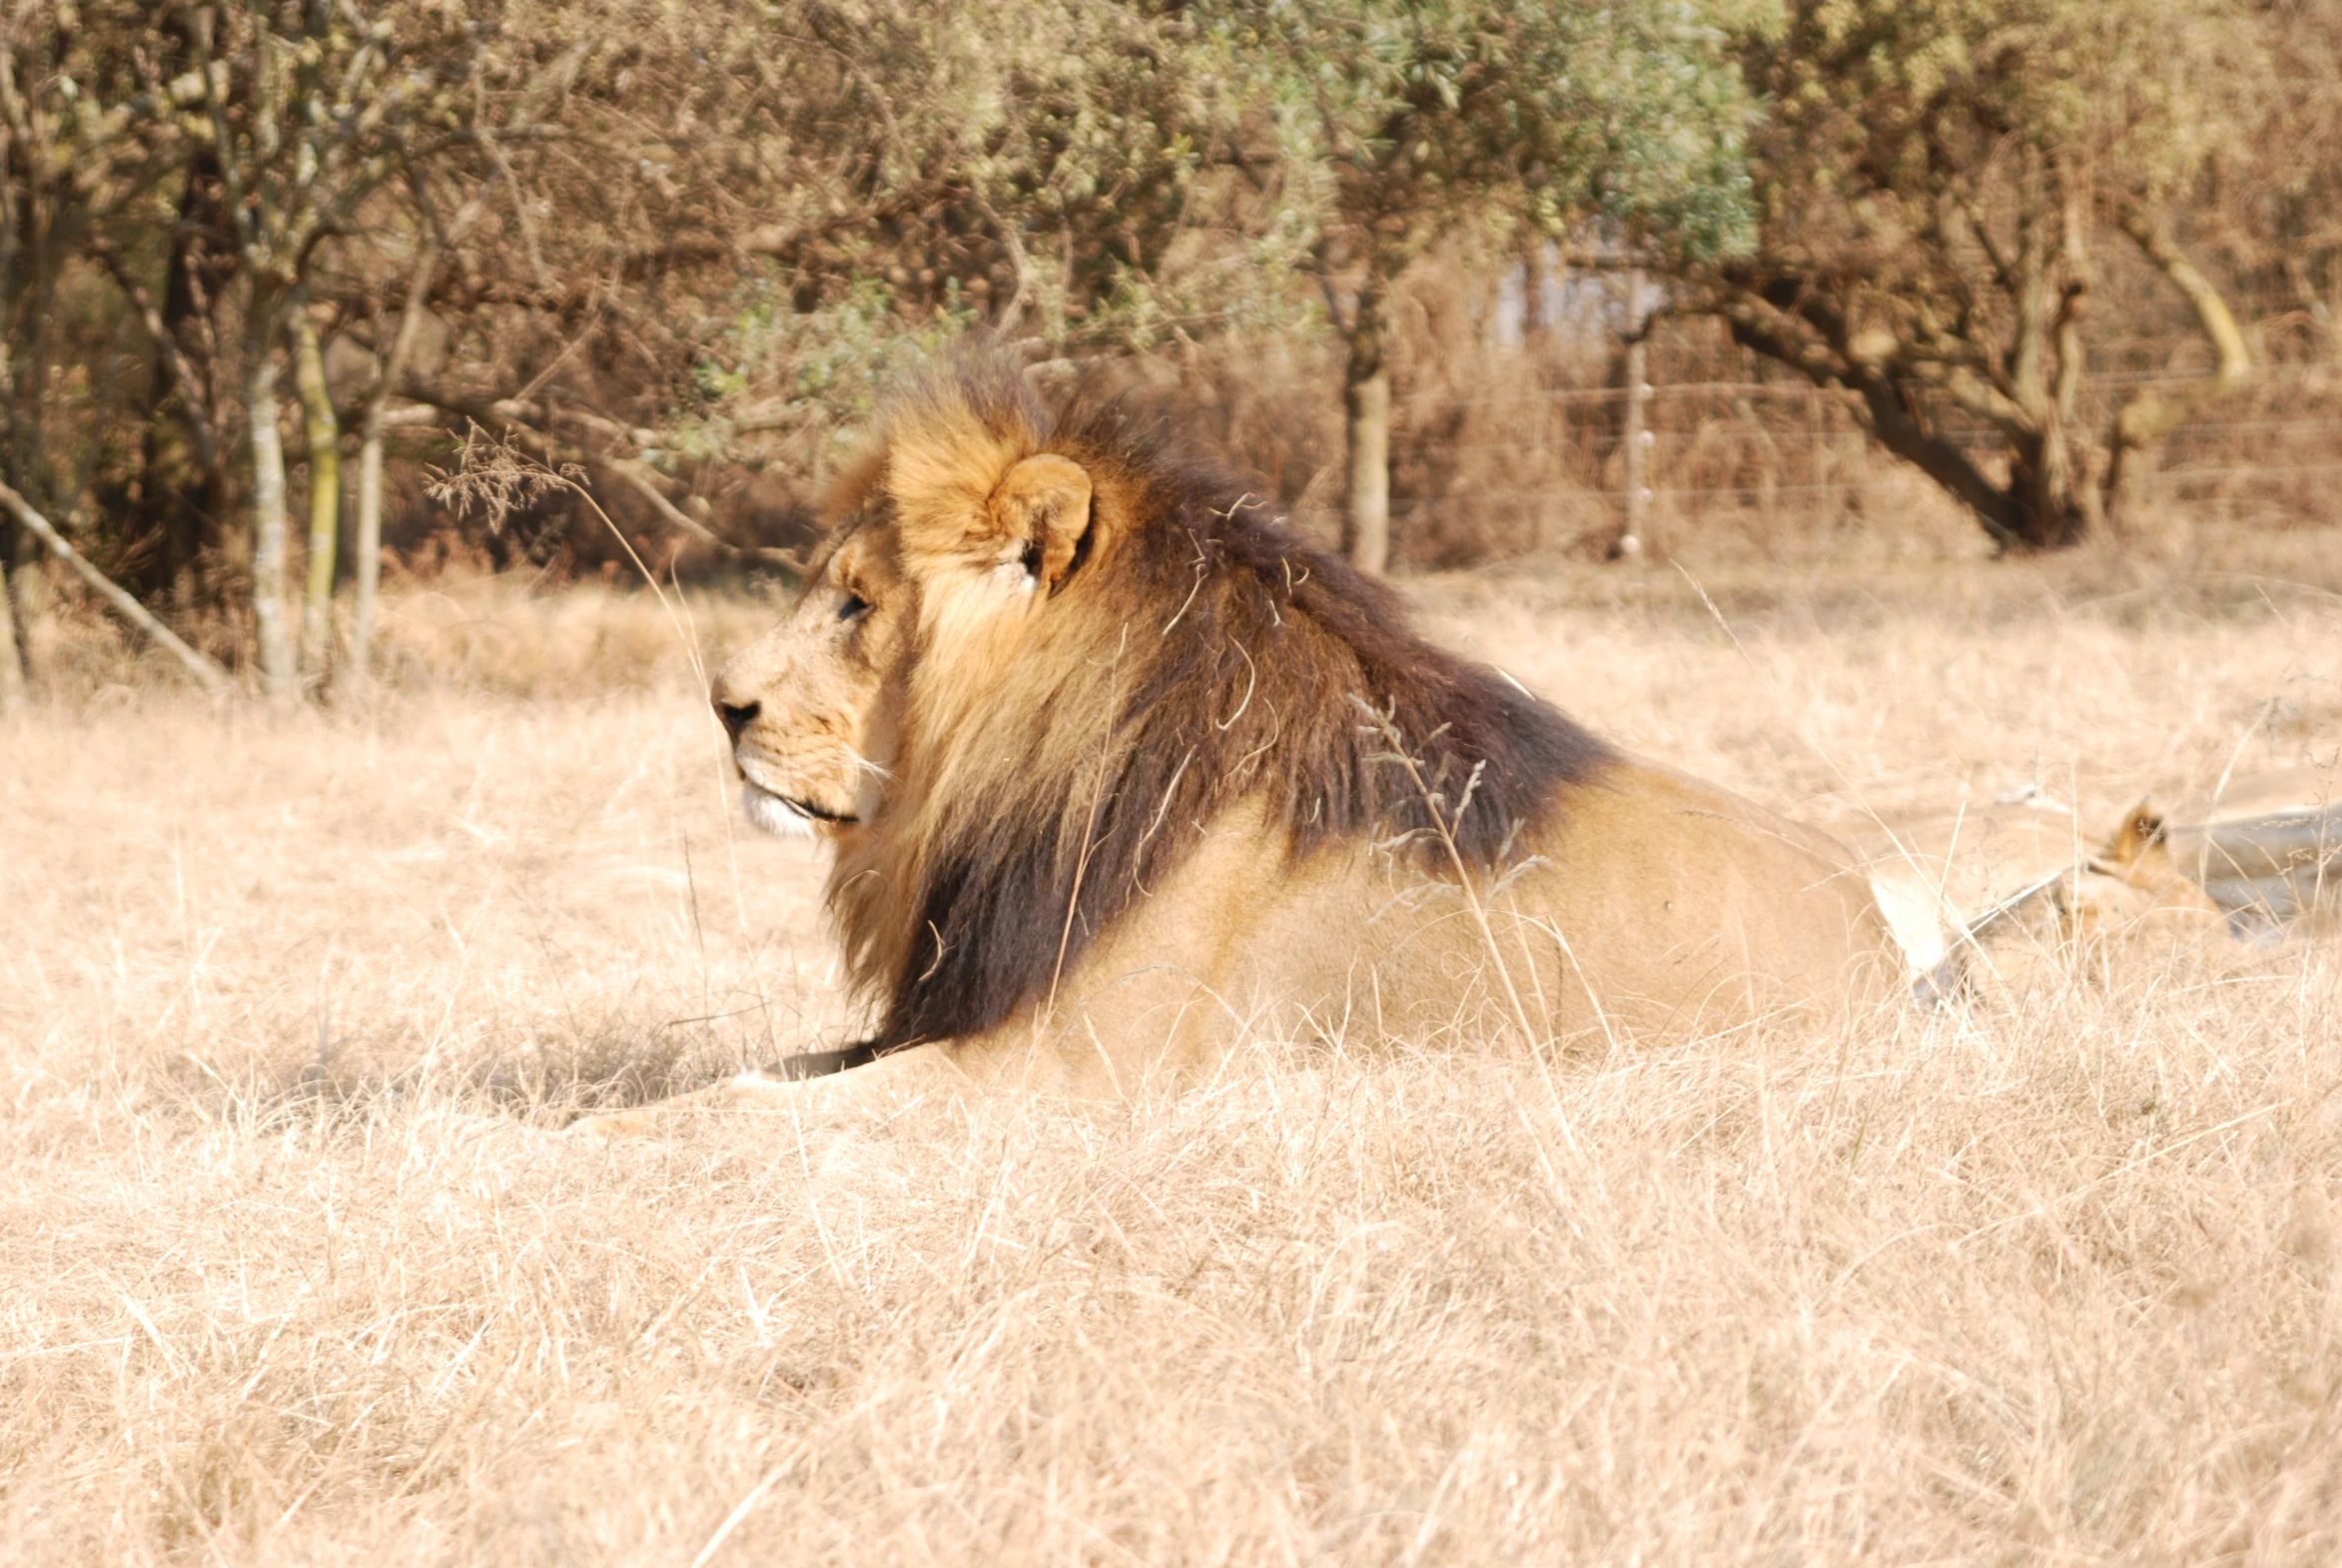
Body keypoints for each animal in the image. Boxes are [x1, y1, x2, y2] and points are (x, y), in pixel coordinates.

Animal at [571, 363, 1920, 1137]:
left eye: (854, 604)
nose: (722, 705)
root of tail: (1887, 928)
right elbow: (755, 1080)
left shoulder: (1066, 1071)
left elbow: (732, 1117)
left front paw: (582, 1147)